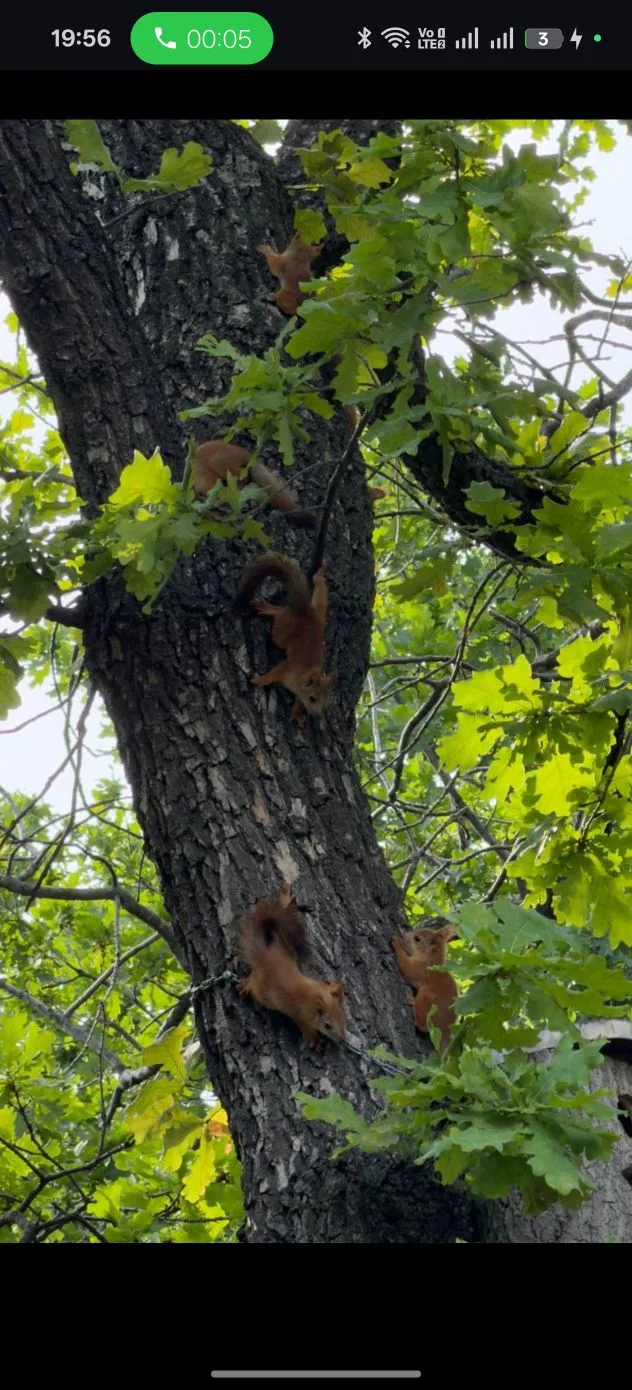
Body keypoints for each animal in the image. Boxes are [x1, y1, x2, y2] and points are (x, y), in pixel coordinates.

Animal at [235, 554, 337, 724]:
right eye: (312, 698)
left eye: (326, 702)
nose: (317, 715)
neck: (301, 679)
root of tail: (305, 613)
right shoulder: (287, 669)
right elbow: (274, 674)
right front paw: (261, 680)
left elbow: (298, 701)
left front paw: (297, 713)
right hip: (282, 633)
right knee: (281, 615)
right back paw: (271, 609)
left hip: (319, 613)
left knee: (320, 593)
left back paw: (318, 576)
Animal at [237, 881, 346, 1046]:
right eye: (327, 1026)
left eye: (344, 1016)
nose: (341, 1039)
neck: (313, 996)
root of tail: (265, 953)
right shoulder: (299, 1014)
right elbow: (305, 1028)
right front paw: (316, 1041)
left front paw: (337, 988)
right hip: (262, 992)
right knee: (254, 982)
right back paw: (247, 985)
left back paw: (286, 899)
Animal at [391, 921, 458, 1054]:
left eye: (417, 939)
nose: (403, 934)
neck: (431, 959)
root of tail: (444, 1030)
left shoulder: (421, 969)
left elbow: (408, 969)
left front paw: (397, 943)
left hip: (427, 1000)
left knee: (422, 1025)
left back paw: (413, 1003)